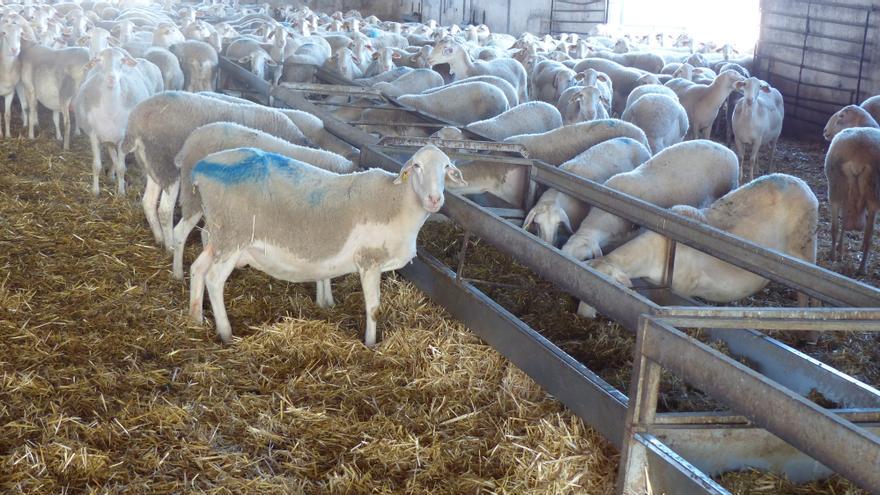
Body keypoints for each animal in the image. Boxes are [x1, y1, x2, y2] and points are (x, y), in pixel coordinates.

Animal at [190, 143, 468, 344]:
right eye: (417, 165)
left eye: (446, 167)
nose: (434, 199)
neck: (397, 202)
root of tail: (200, 168)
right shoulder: (369, 261)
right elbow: (374, 308)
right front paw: (371, 344)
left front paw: (328, 304)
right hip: (233, 236)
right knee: (214, 279)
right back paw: (226, 333)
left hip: (219, 237)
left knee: (197, 268)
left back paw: (195, 318)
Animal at [584, 174, 820, 318]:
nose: (583, 316)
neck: (655, 252)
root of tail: (800, 181)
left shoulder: (682, 291)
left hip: (806, 249)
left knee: (809, 294)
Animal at [824, 127, 880, 276]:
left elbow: (842, 222)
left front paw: (840, 250)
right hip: (874, 194)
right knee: (869, 235)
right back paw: (862, 268)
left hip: (835, 186)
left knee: (836, 226)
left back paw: (834, 255)